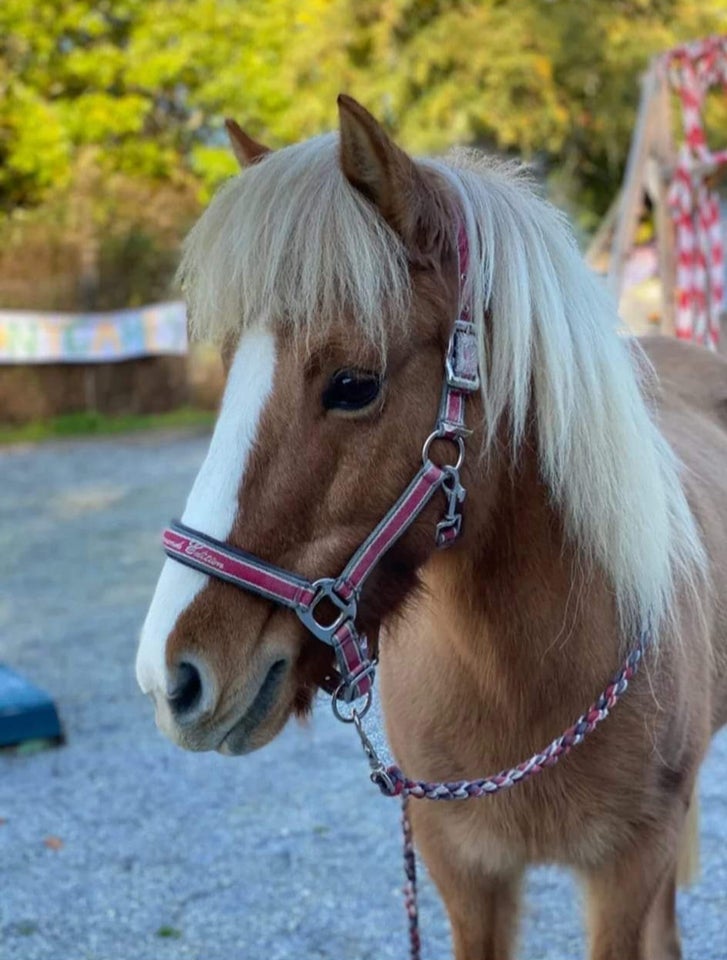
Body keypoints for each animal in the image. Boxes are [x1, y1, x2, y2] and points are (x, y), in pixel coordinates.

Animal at [135, 92, 727, 960]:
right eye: (228, 365)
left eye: (353, 385)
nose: (170, 676)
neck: (519, 682)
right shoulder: (462, 874)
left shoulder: (625, 874)